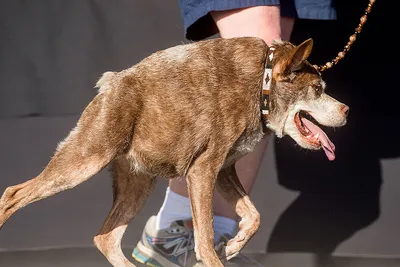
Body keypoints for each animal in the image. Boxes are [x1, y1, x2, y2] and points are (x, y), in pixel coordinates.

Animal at [0, 36, 348, 266]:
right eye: (317, 89)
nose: (347, 110)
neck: (260, 85)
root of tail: (110, 84)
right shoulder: (202, 170)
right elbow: (205, 240)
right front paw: (219, 253)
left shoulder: (223, 169)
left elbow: (254, 215)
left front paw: (235, 245)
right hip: (85, 159)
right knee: (12, 195)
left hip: (138, 184)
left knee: (105, 238)